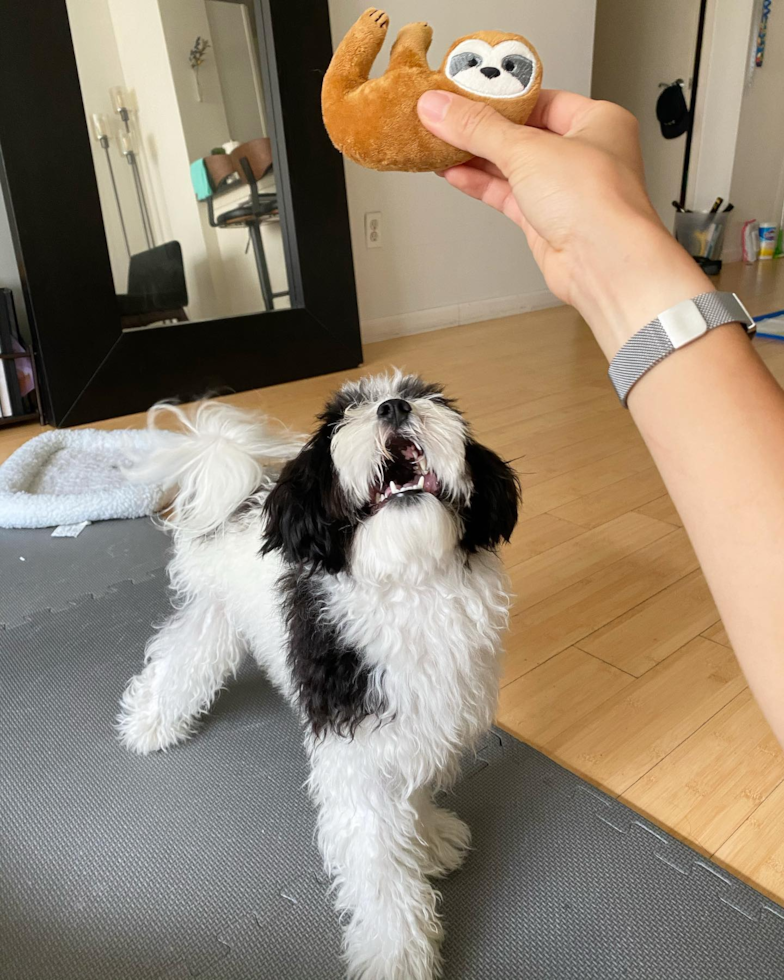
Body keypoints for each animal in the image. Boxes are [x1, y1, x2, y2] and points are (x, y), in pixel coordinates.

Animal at [118, 372, 520, 976]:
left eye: (425, 397)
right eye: (340, 419)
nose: (394, 407)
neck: (410, 581)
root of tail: (241, 488)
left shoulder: (418, 724)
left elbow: (414, 796)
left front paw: (428, 837)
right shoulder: (357, 753)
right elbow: (379, 865)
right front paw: (395, 952)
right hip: (214, 613)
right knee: (181, 657)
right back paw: (148, 724)